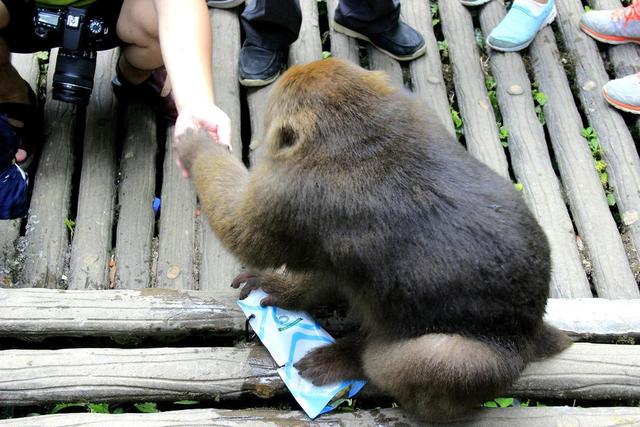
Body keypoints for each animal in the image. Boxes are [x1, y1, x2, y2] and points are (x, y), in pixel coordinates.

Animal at [174, 56, 568, 422]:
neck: (362, 129)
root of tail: (534, 327)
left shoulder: (286, 192)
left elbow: (240, 230)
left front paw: (195, 145)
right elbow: (332, 271)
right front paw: (285, 290)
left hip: (496, 356)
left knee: (431, 361)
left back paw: (354, 359)